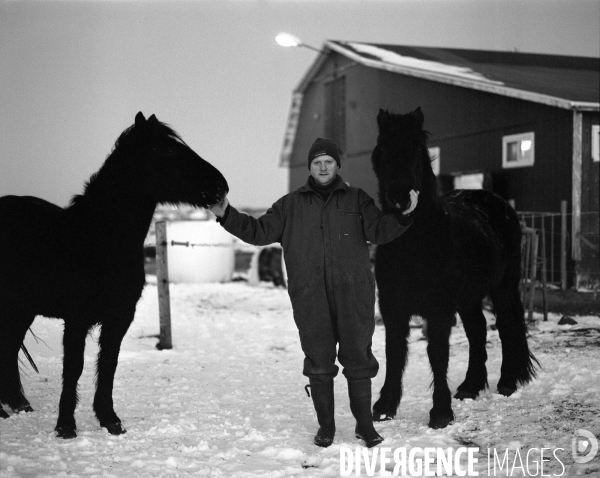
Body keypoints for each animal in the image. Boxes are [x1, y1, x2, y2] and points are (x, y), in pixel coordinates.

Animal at [0, 112, 227, 436]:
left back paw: (18, 404)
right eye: (165, 150)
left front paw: (110, 419)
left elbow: (108, 364)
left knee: (7, 347)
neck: (99, 239)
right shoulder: (77, 318)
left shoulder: (120, 317)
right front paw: (65, 426)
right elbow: (74, 367)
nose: (220, 185)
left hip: (21, 309)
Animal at [372, 109, 536, 430]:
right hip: (469, 298)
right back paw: (470, 387)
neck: (415, 244)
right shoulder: (392, 307)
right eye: (382, 149)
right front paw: (385, 407)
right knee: (478, 330)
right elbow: (394, 352)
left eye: (416, 149)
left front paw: (440, 412)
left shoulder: (439, 308)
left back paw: (507, 383)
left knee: (507, 325)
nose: (399, 197)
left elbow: (437, 353)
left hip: (504, 288)